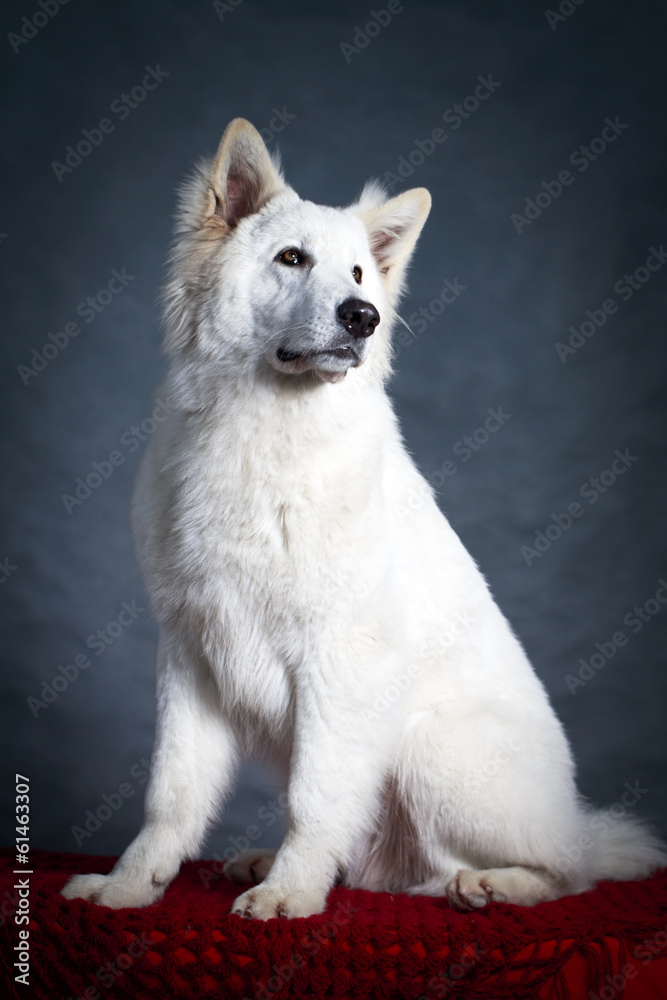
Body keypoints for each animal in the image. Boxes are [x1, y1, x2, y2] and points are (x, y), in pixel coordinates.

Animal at [61, 119, 664, 920]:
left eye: (356, 275)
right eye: (292, 258)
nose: (363, 318)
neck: (261, 434)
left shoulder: (339, 661)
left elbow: (316, 798)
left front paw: (289, 895)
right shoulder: (190, 656)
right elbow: (171, 797)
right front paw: (129, 887)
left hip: (431, 749)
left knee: (568, 870)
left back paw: (492, 884)